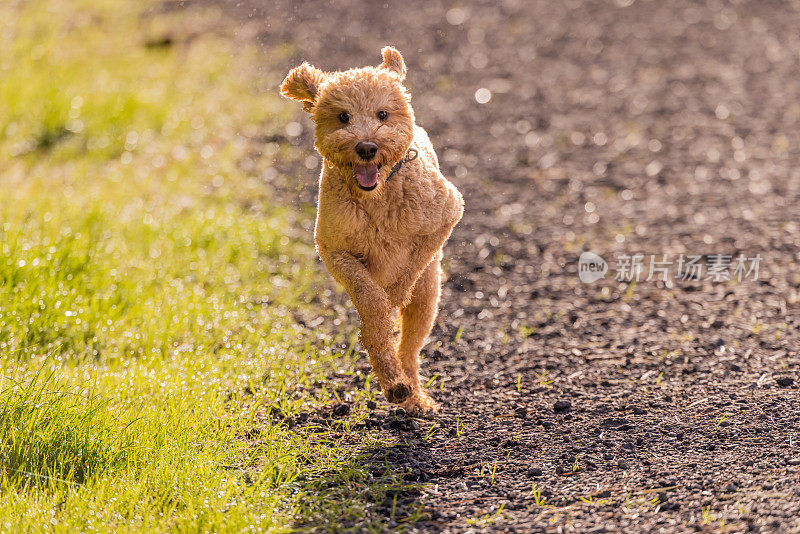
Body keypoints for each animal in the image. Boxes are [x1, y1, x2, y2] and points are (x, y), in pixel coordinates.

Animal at [280, 46, 462, 416]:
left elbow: (409, 267)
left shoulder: (447, 213)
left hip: (428, 296)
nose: (366, 147)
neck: (377, 198)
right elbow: (371, 301)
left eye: (382, 114)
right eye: (342, 117)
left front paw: (396, 292)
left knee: (410, 346)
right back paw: (396, 385)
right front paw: (381, 327)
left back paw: (415, 395)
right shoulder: (334, 249)